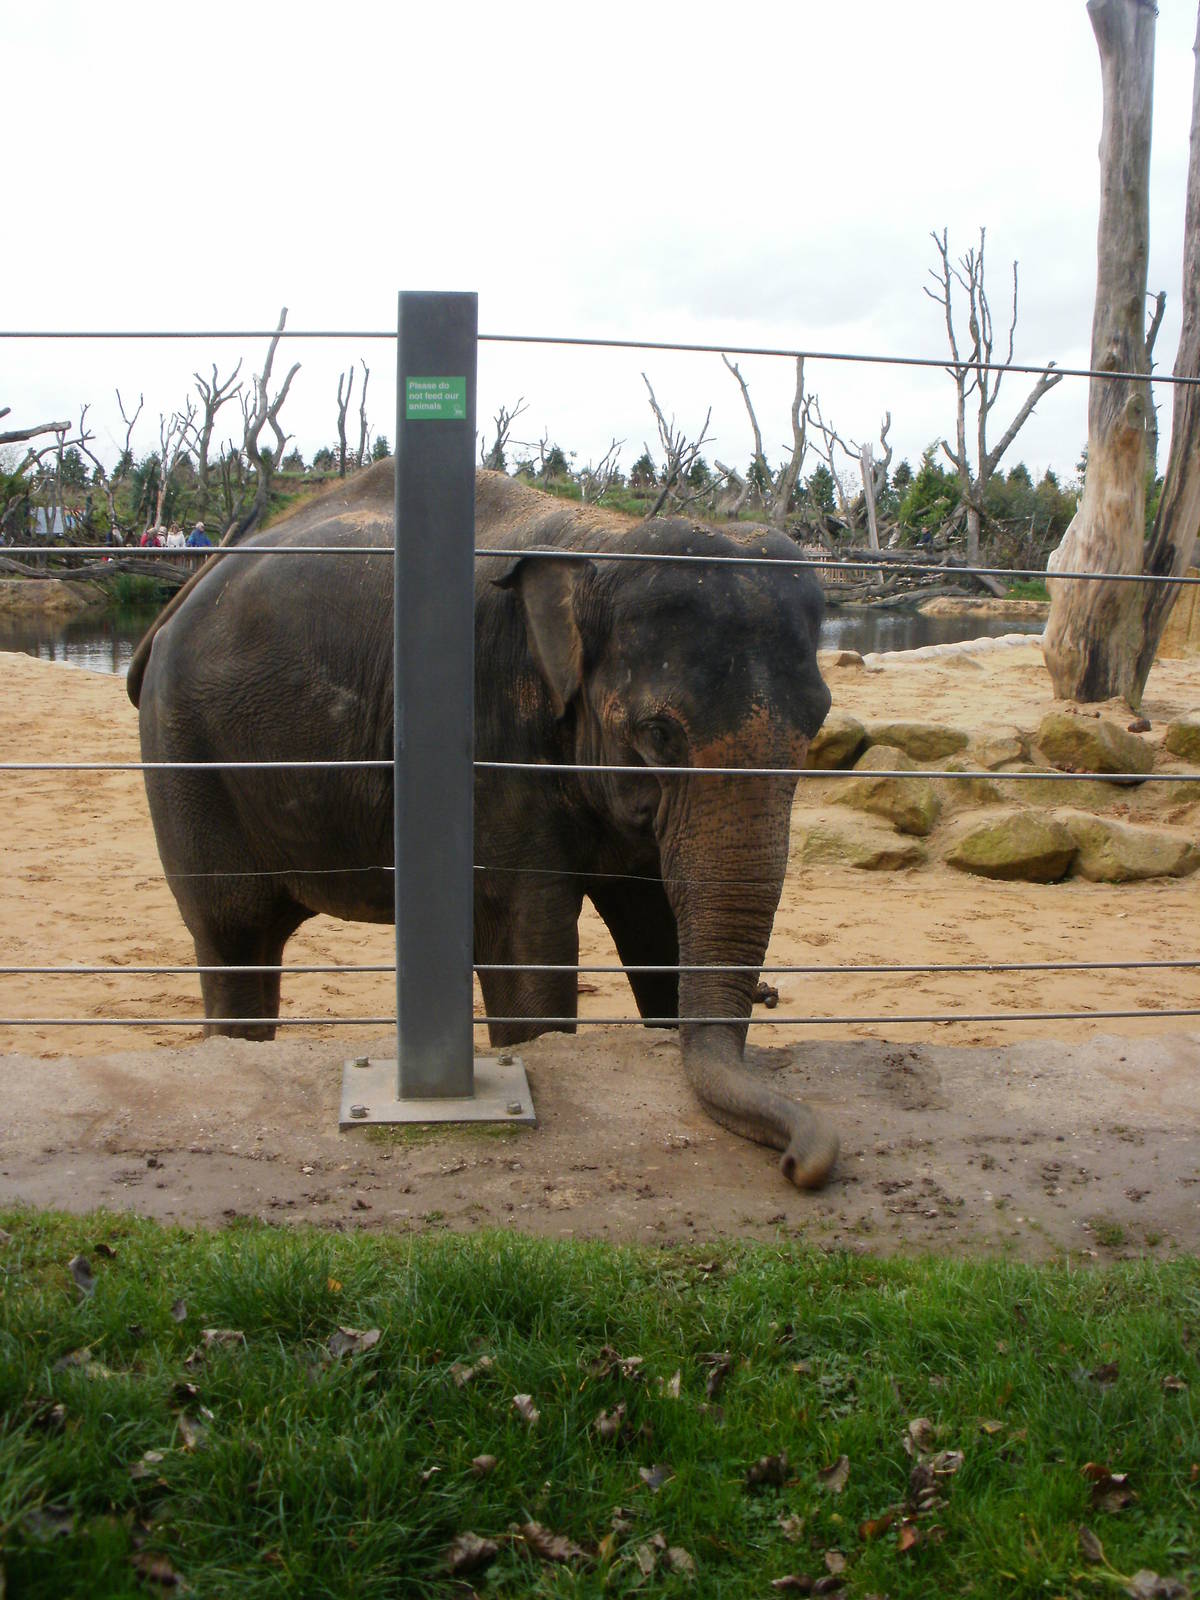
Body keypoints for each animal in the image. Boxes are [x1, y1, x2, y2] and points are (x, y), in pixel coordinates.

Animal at [128, 462, 839, 1188]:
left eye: (818, 722)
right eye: (658, 733)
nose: (797, 1164)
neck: (601, 541)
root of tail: (180, 599)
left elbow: (653, 923)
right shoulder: (486, 728)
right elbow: (527, 941)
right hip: (187, 756)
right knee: (232, 932)